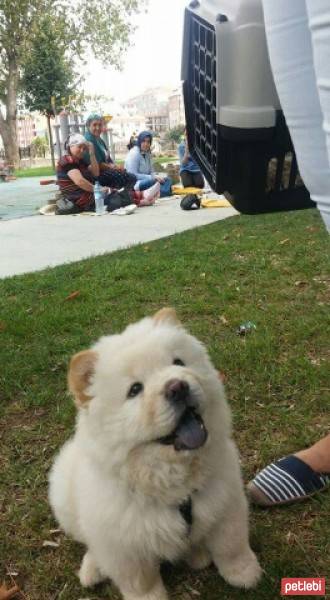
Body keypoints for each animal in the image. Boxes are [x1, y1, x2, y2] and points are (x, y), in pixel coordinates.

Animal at [48, 310, 260, 600]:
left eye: (178, 362)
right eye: (135, 390)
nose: (178, 387)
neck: (173, 483)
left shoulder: (226, 504)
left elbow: (232, 546)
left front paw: (246, 575)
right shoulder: (124, 547)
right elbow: (141, 582)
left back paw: (198, 554)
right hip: (64, 499)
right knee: (90, 544)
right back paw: (92, 570)